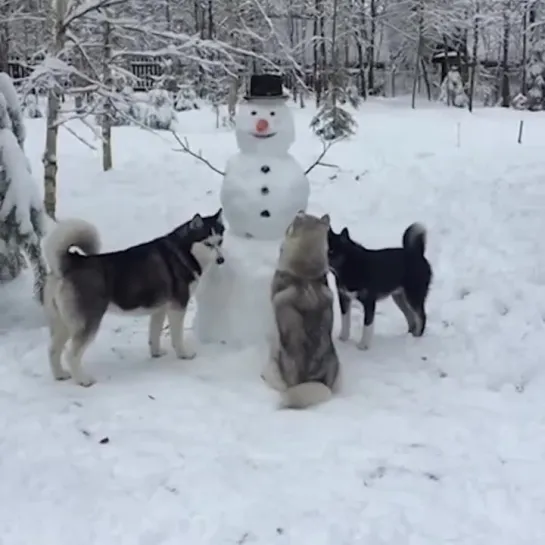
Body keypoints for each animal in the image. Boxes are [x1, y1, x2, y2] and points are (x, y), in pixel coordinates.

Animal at [42, 209, 225, 386]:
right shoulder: (178, 306)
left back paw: (60, 375)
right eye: (208, 243)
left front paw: (156, 353)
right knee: (71, 354)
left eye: (220, 241)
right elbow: (177, 336)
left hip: (63, 323)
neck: (183, 251)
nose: (221, 260)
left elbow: (154, 335)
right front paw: (184, 354)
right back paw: (83, 380)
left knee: (52, 350)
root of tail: (71, 262)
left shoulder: (159, 309)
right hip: (88, 323)